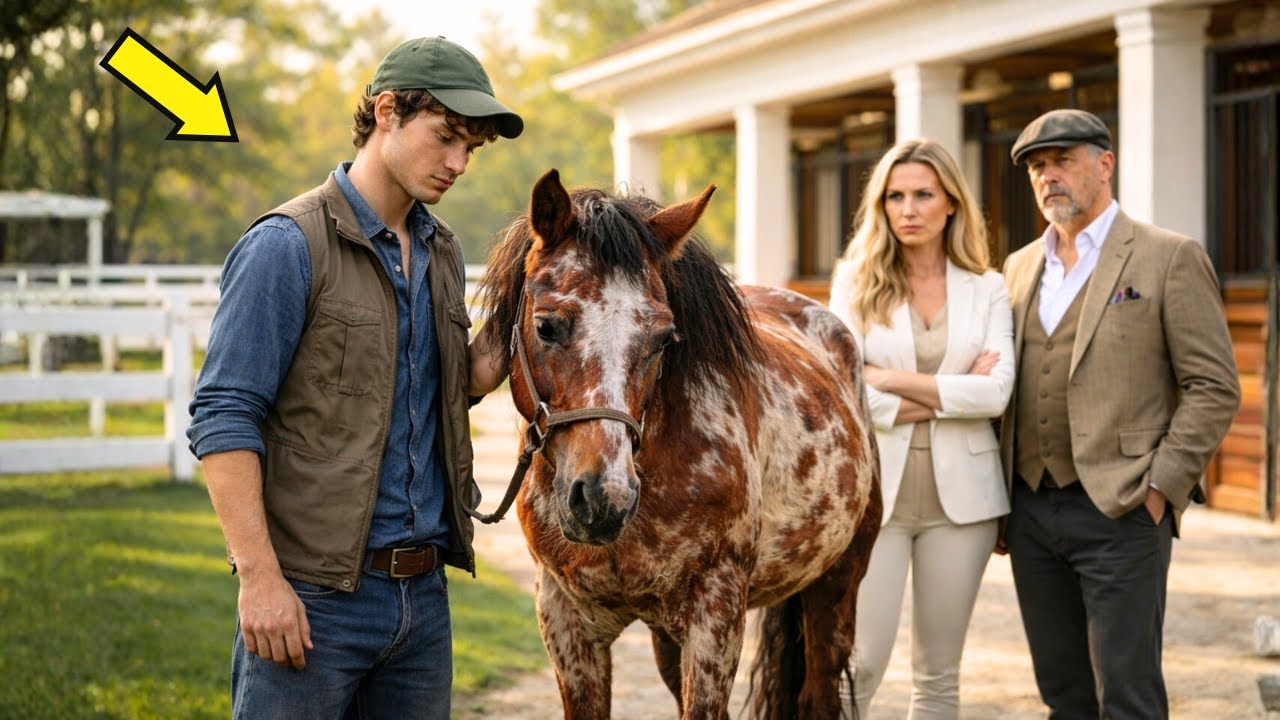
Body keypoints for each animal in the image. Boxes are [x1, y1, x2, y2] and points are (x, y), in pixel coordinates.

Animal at [474, 169, 881, 719]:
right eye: (546, 325)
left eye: (665, 338)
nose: (604, 499)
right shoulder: (565, 619)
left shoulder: (716, 617)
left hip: (835, 587)